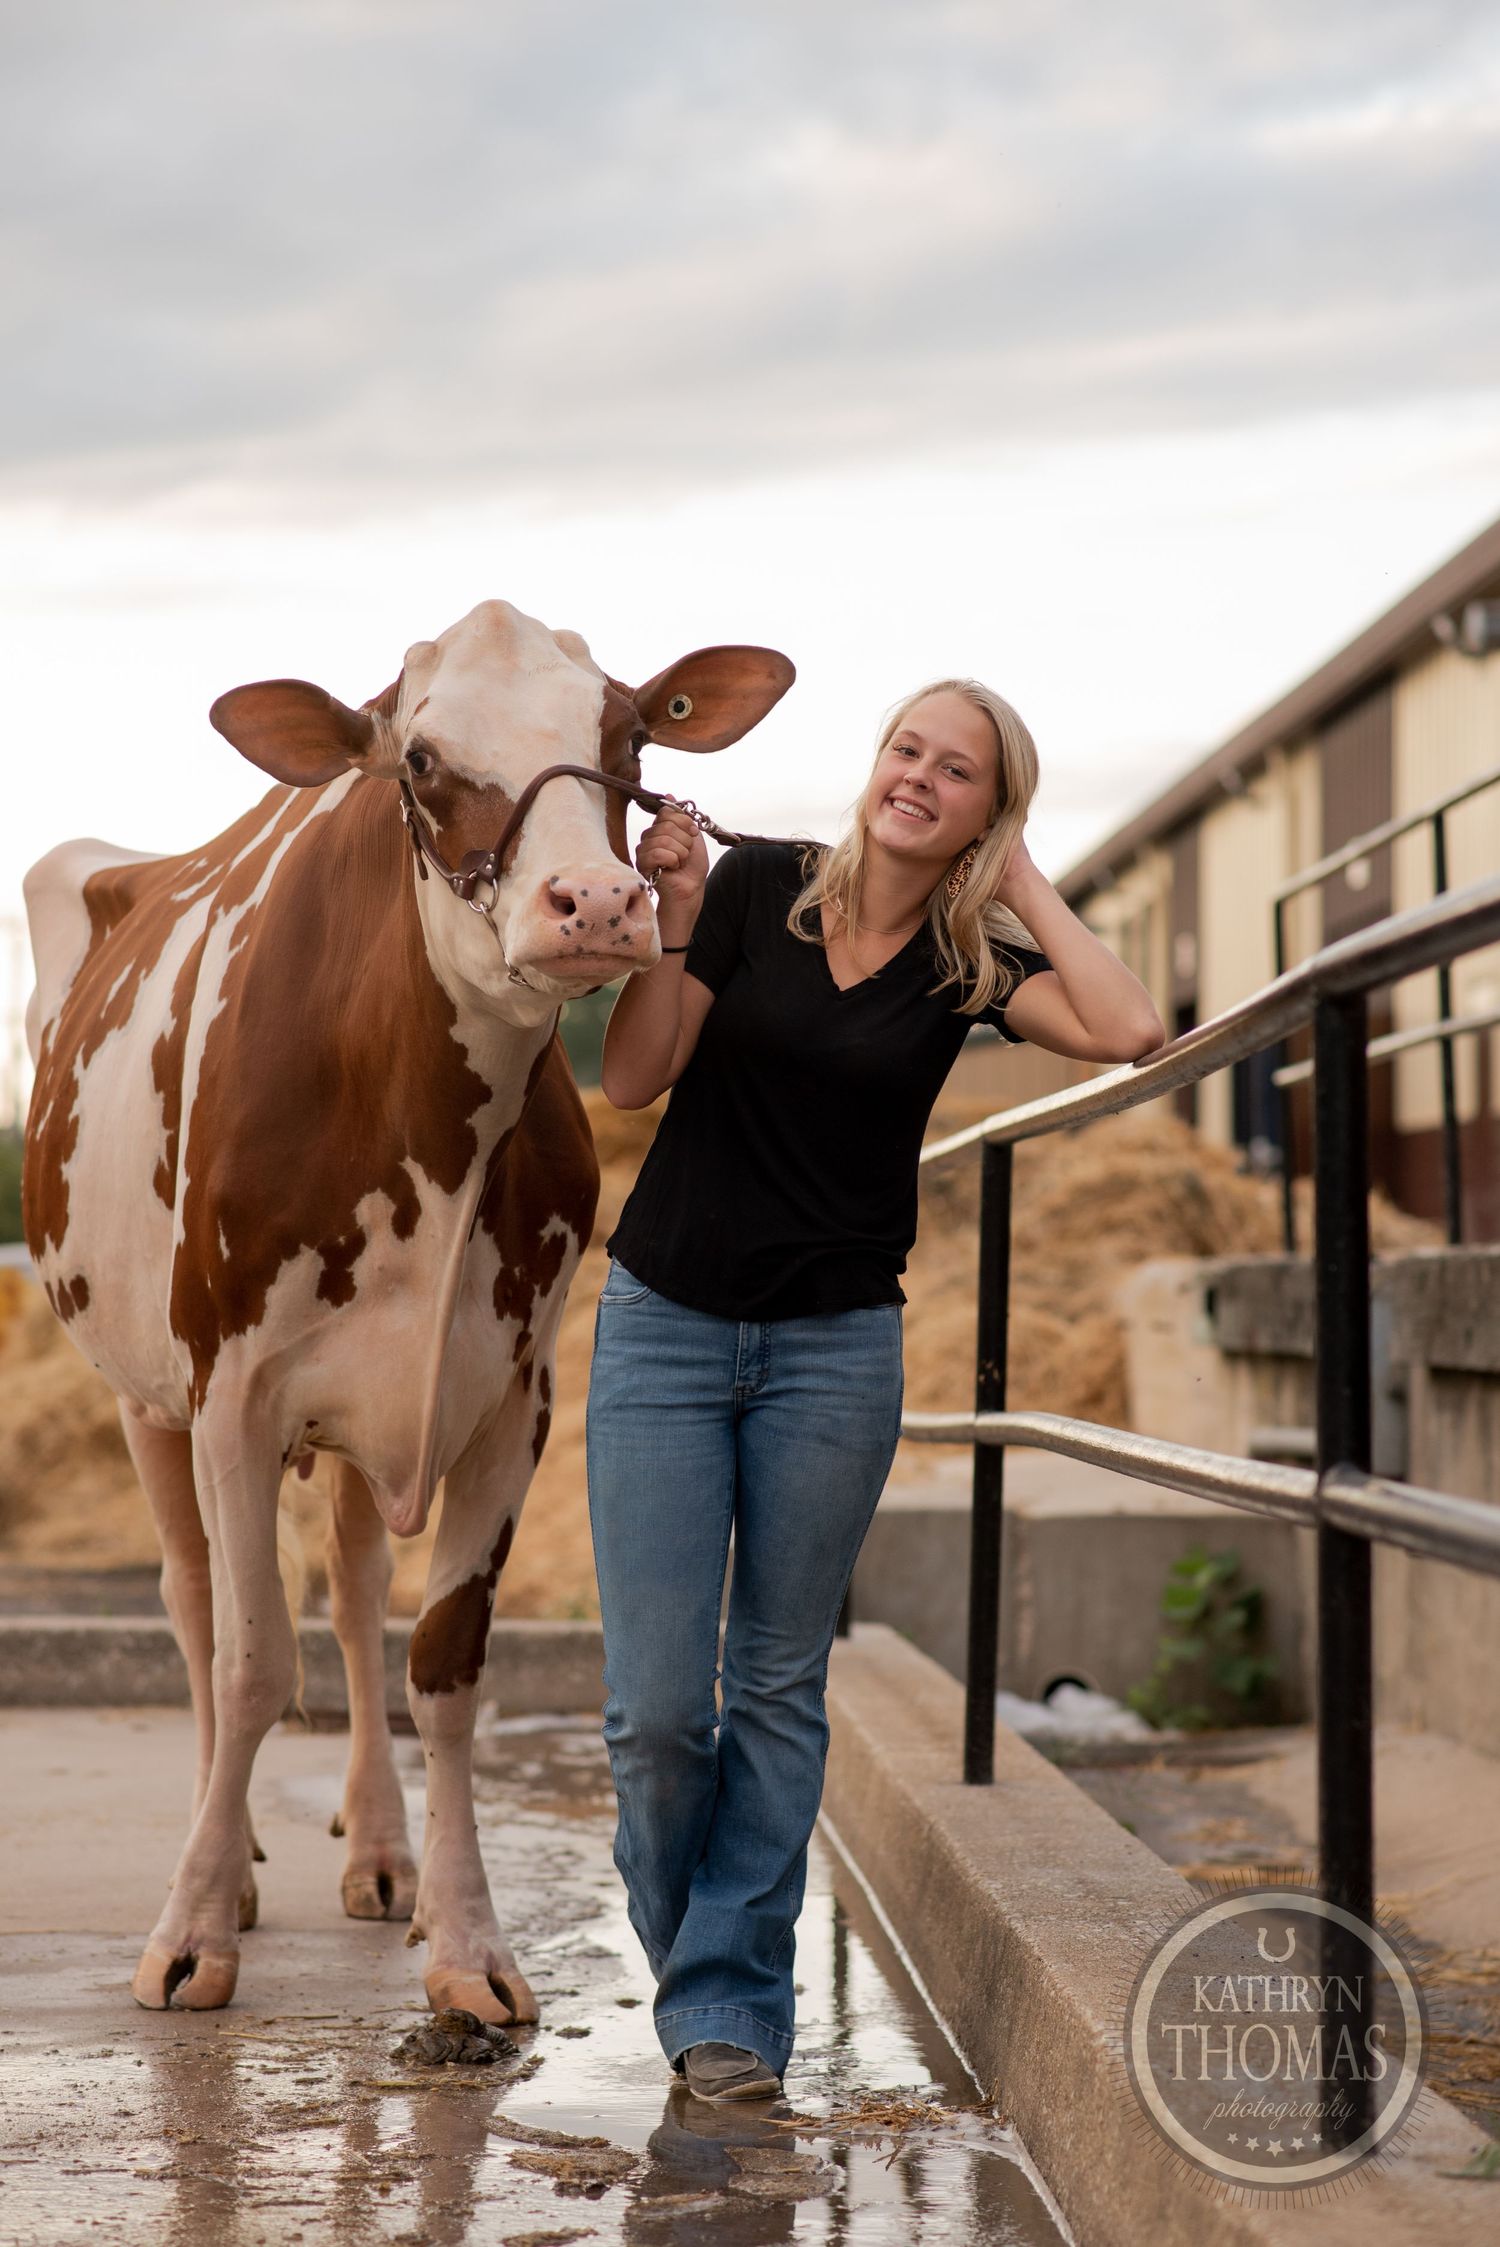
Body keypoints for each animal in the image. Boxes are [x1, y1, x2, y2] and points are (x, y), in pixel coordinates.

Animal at [22, 599, 793, 2020]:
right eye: (421, 762)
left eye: (627, 733)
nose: (599, 903)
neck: (429, 1130)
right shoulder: (230, 1395)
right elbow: (253, 1660)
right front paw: (193, 1932)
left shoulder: (508, 1401)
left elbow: (442, 1664)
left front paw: (467, 1944)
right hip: (144, 1392)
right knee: (195, 1607)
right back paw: (236, 1855)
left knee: (352, 1593)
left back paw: (378, 1853)